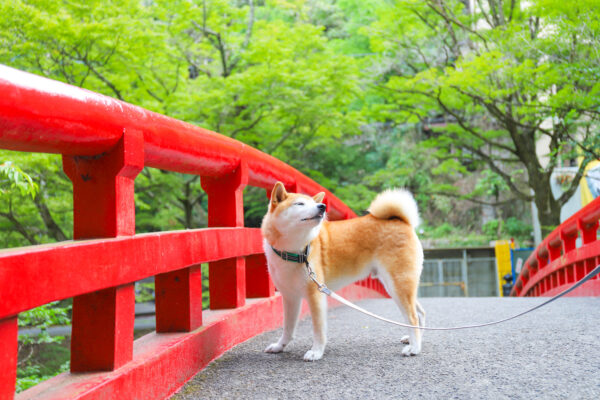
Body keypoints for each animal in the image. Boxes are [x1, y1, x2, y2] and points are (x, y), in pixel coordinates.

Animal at [260, 183, 424, 360]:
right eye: (300, 204)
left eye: (313, 202)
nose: (322, 206)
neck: (295, 252)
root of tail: (402, 221)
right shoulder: (290, 297)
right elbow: (288, 328)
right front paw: (279, 346)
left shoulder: (315, 295)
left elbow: (318, 330)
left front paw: (316, 351)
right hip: (395, 285)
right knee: (420, 313)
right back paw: (413, 340)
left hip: (398, 283)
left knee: (413, 317)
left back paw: (414, 348)